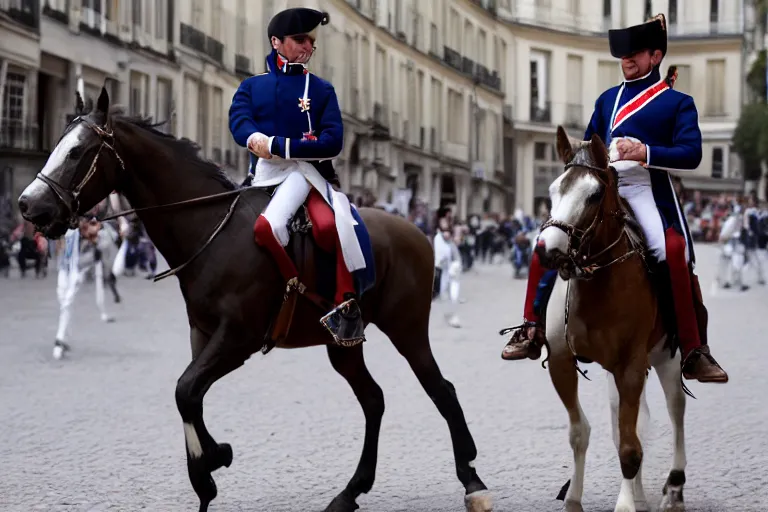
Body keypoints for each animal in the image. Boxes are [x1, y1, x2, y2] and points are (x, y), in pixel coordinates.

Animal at [18, 89, 492, 512]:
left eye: (78, 152)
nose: (29, 205)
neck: (212, 229)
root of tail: (416, 232)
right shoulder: (203, 334)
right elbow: (188, 393)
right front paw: (208, 466)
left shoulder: (238, 338)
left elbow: (186, 388)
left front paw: (209, 465)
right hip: (344, 345)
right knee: (373, 400)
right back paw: (350, 492)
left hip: (407, 330)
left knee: (440, 389)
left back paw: (472, 480)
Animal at [536, 127, 688, 512]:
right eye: (554, 190)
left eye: (593, 194)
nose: (547, 249)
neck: (598, 284)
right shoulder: (561, 361)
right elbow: (582, 433)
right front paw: (573, 499)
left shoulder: (631, 366)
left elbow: (630, 447)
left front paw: (626, 504)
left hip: (668, 358)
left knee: (675, 410)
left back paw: (674, 486)